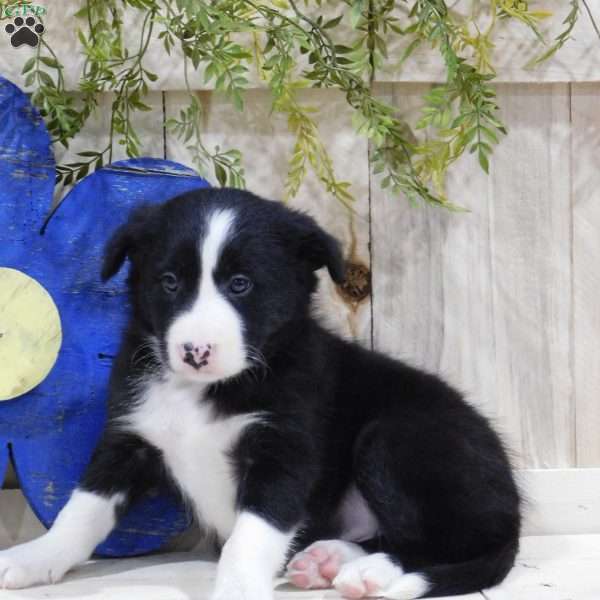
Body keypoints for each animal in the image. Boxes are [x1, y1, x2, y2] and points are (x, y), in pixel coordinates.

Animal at [0, 189, 520, 600]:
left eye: (240, 284)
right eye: (169, 282)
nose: (195, 351)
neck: (204, 390)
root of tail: (512, 506)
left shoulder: (282, 452)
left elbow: (250, 538)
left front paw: (236, 590)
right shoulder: (128, 439)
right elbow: (80, 512)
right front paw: (33, 558)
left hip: (394, 439)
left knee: (446, 544)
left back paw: (370, 571)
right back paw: (330, 560)